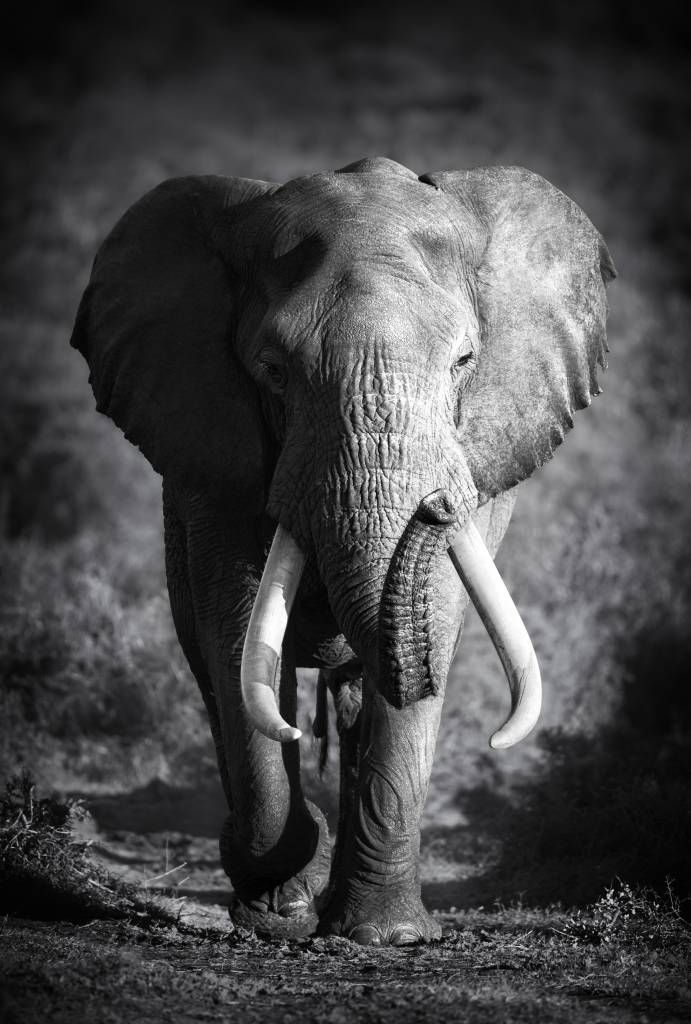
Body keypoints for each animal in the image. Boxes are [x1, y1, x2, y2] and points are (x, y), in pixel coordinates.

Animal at [71, 156, 615, 945]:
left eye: (464, 362)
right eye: (272, 370)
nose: (436, 505)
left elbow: (434, 620)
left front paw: (386, 936)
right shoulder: (213, 457)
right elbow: (234, 632)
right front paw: (277, 909)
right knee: (213, 670)